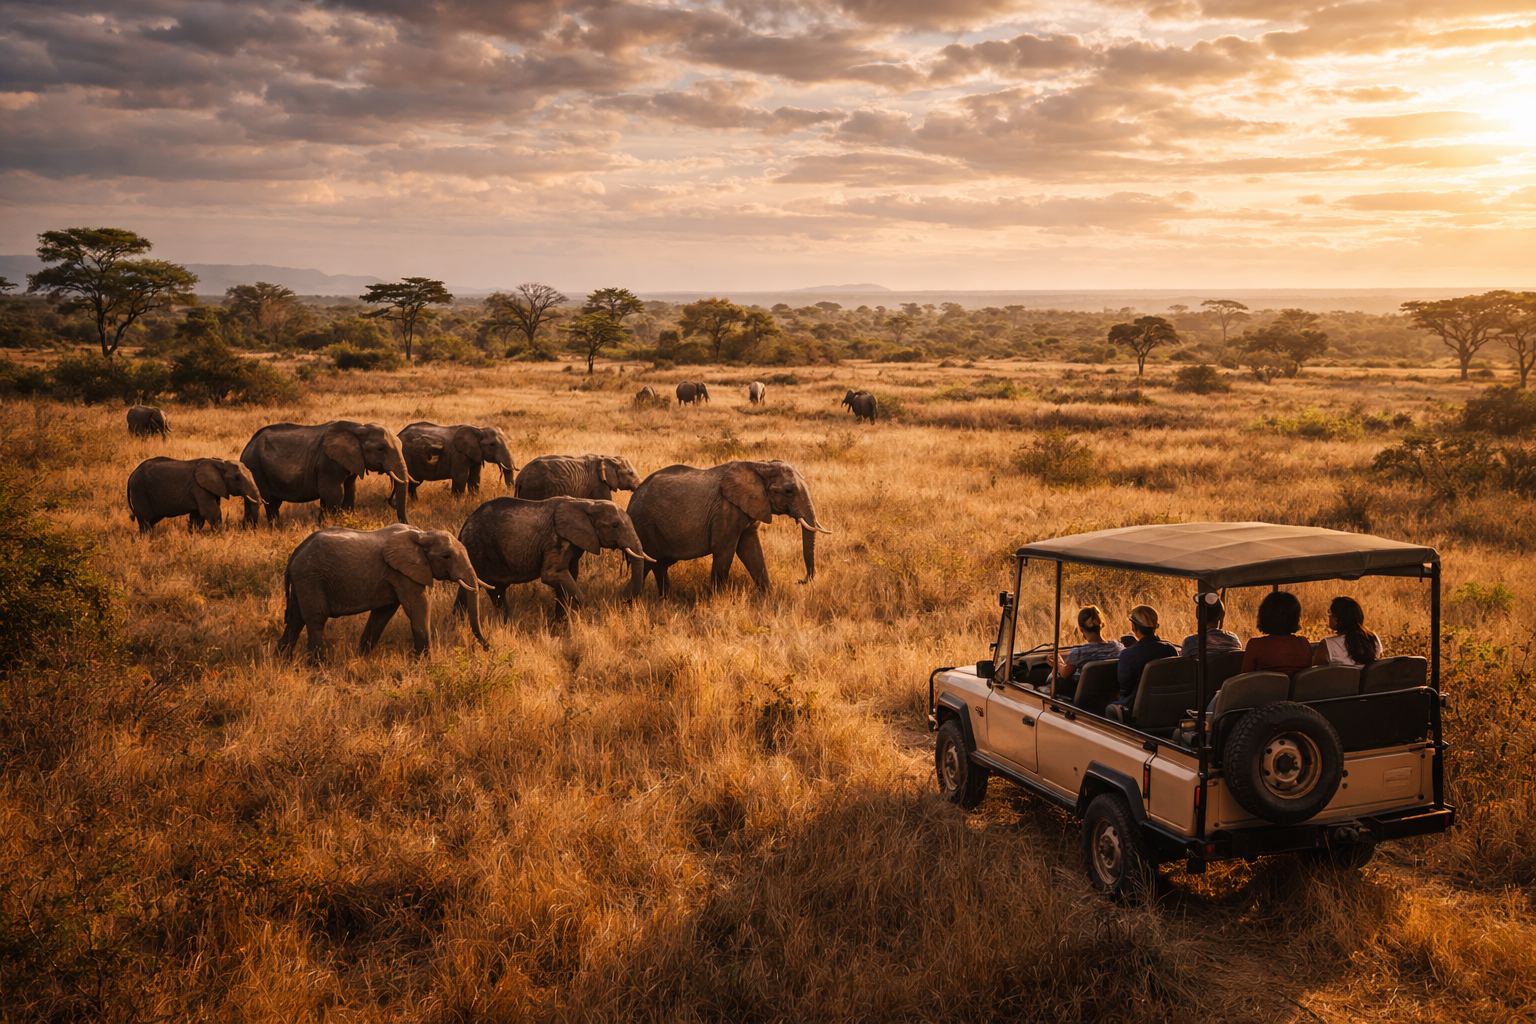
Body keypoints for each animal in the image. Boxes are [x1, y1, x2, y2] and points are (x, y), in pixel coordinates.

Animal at [126, 457, 261, 534]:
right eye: (237, 478)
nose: (250, 529)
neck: (219, 462)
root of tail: (132, 475)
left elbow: (197, 517)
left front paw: (192, 535)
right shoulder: (199, 488)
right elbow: (212, 512)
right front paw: (220, 534)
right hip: (140, 490)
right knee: (145, 520)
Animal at [241, 420, 411, 526]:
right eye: (380, 449)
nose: (407, 524)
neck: (358, 427)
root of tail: (245, 450)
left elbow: (350, 492)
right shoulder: (328, 462)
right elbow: (334, 495)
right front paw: (326, 527)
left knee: (269, 503)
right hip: (256, 468)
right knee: (269, 502)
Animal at [278, 523, 488, 659]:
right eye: (446, 557)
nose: (488, 647)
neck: (423, 534)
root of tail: (294, 555)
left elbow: (383, 613)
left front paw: (362, 657)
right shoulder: (402, 573)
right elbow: (418, 606)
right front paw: (424, 663)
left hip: (304, 580)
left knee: (296, 619)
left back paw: (282, 660)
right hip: (311, 578)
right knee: (315, 619)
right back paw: (319, 666)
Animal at [454, 496, 654, 625]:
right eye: (615, 526)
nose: (626, 601)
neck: (586, 503)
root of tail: (464, 526)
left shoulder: (574, 541)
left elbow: (568, 575)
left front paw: (558, 624)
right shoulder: (556, 539)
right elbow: (552, 574)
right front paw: (578, 614)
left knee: (488, 590)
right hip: (478, 549)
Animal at [626, 460, 831, 598]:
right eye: (788, 491)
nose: (800, 580)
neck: (759, 467)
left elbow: (751, 551)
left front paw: (768, 598)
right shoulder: (726, 510)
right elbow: (725, 552)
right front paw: (716, 601)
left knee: (651, 564)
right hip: (646, 524)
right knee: (656, 564)